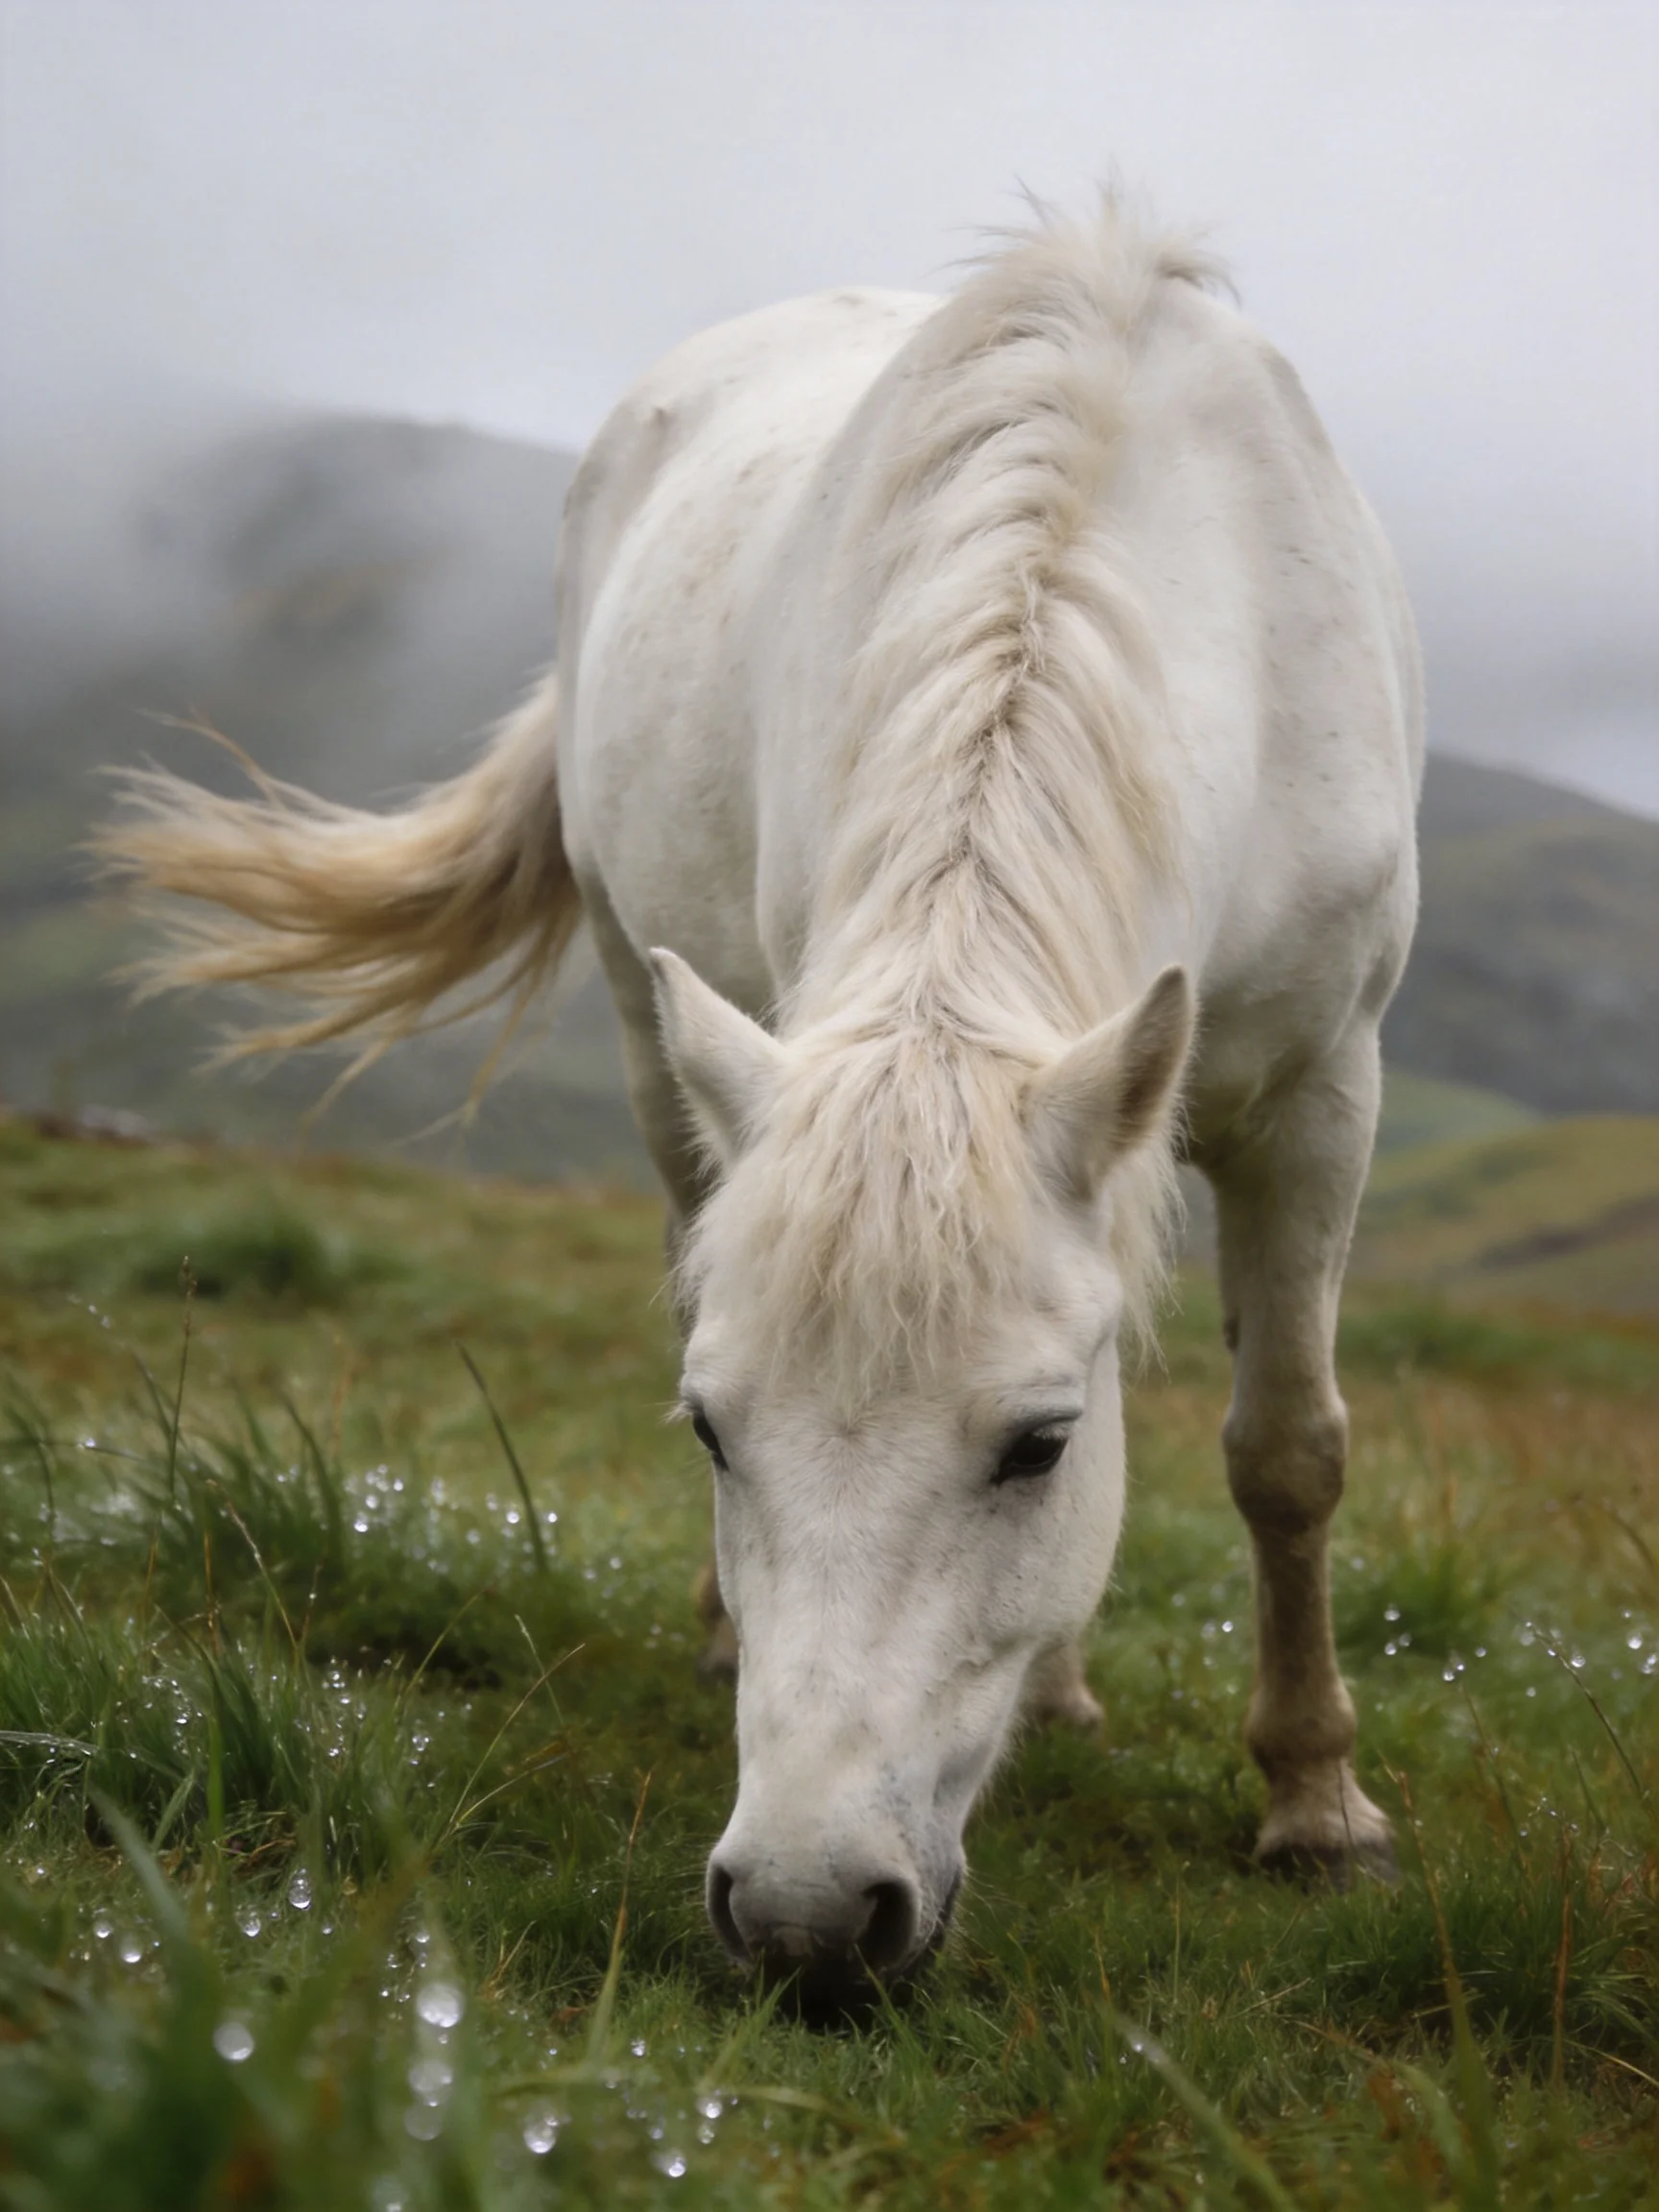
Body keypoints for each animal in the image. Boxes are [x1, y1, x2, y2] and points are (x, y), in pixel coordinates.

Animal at [100, 197, 1422, 2007]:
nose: (805, 1916)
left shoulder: (1321, 1094)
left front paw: (1315, 1803)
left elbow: (1285, 1449)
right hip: (658, 1034)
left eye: (1035, 1444)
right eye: (712, 1430)